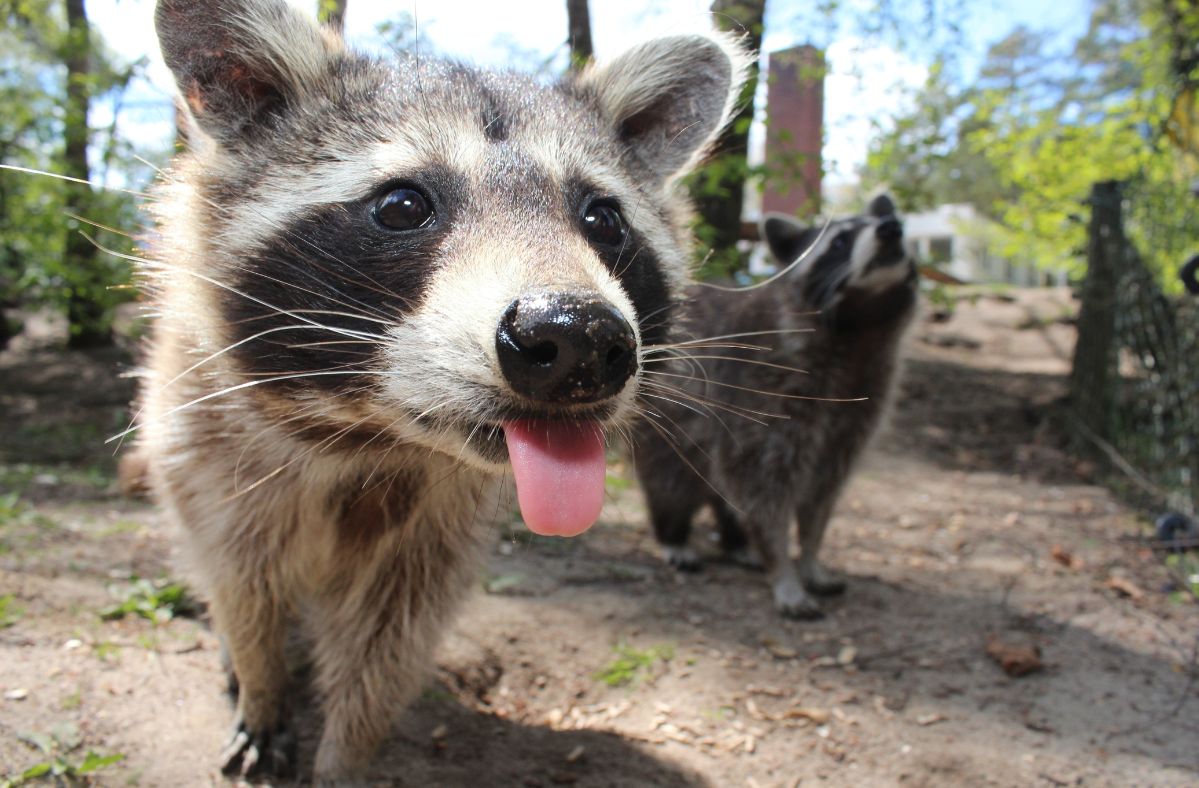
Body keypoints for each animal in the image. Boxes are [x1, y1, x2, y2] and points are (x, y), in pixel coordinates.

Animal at [136, 0, 743, 772]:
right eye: (402, 205)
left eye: (602, 219)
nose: (576, 336)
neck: (372, 434)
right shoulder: (211, 447)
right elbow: (243, 582)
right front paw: (261, 680)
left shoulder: (438, 530)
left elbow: (390, 639)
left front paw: (347, 753)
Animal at [637, 193, 916, 618]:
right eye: (839, 242)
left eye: (893, 222)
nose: (891, 228)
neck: (858, 329)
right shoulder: (763, 391)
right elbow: (763, 489)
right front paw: (782, 567)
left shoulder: (858, 408)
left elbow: (822, 493)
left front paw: (810, 556)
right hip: (667, 423)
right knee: (670, 481)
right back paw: (674, 535)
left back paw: (735, 541)